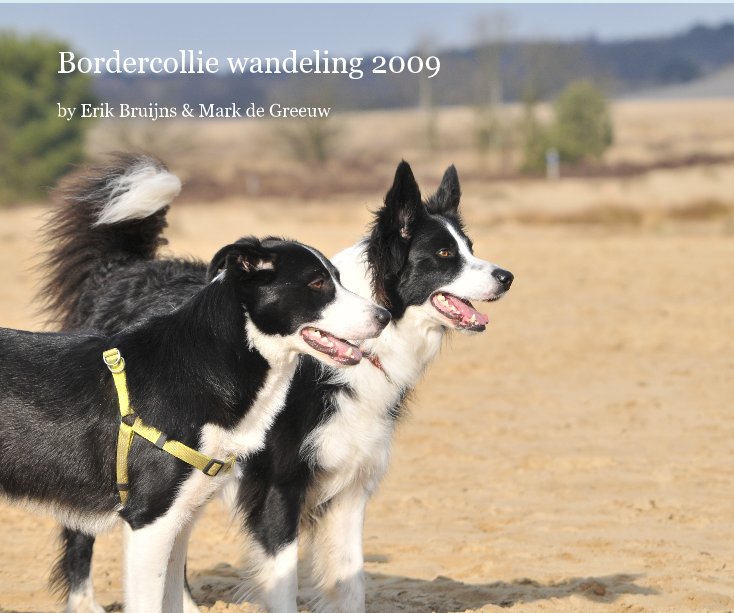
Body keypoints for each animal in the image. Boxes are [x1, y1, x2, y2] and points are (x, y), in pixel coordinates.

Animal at [0, 232, 392, 608]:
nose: (385, 316)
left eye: (337, 278)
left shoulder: (180, 519)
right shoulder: (149, 521)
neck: (201, 366)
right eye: (317, 283)